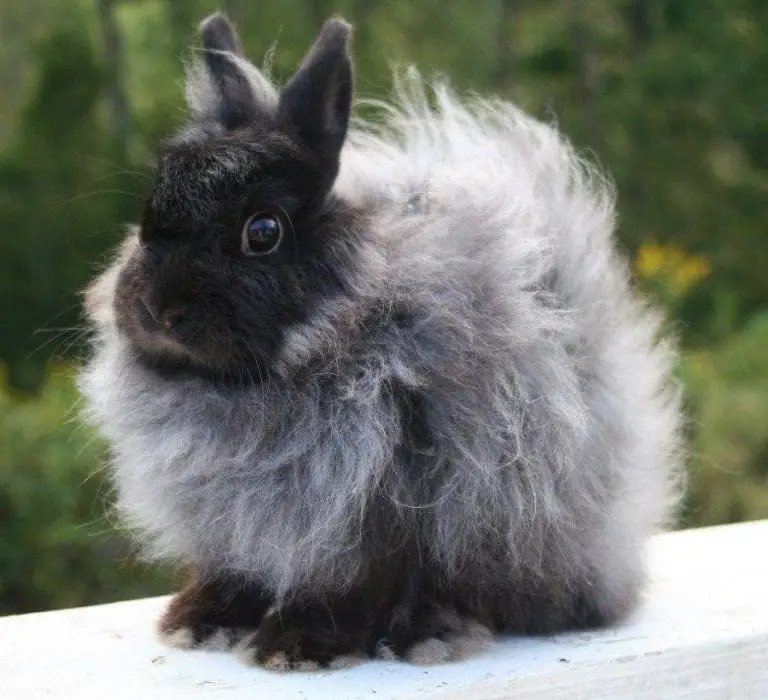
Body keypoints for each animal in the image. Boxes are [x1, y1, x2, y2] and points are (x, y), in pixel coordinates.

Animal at [78, 12, 683, 672]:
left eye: (262, 232)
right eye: (148, 218)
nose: (161, 310)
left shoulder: (377, 508)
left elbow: (353, 583)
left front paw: (296, 648)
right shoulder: (233, 527)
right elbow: (236, 571)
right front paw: (198, 623)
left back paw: (423, 636)